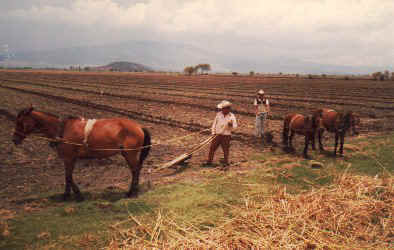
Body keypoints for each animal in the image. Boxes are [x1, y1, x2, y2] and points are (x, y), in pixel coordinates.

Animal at [12, 107, 151, 201]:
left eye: (20, 122)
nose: (14, 139)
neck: (62, 130)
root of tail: (139, 126)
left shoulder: (68, 158)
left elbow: (68, 176)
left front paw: (69, 195)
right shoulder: (70, 158)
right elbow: (69, 176)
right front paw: (74, 194)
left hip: (130, 154)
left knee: (135, 170)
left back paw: (132, 192)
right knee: (135, 170)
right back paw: (131, 191)